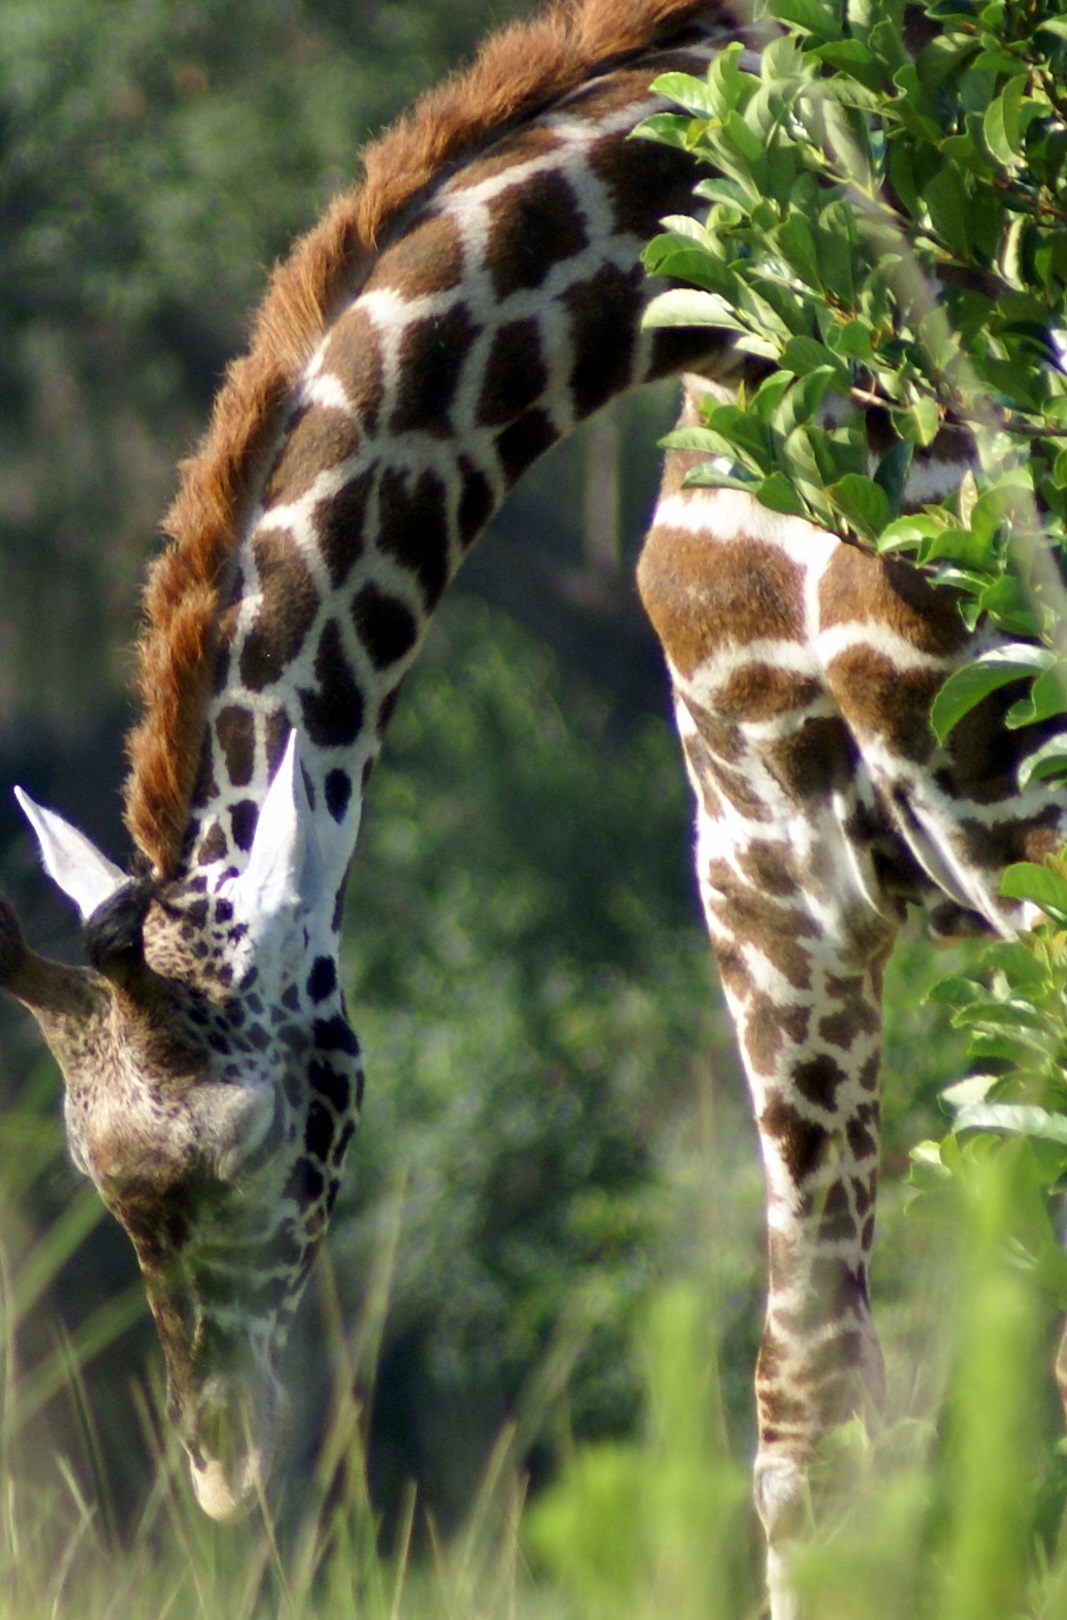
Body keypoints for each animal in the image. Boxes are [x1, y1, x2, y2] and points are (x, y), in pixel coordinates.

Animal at [0, 0, 1055, 1607]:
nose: (223, 1467)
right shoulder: (766, 864)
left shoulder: (1021, 808)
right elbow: (807, 1424)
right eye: (92, 1174)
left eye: (259, 1137)